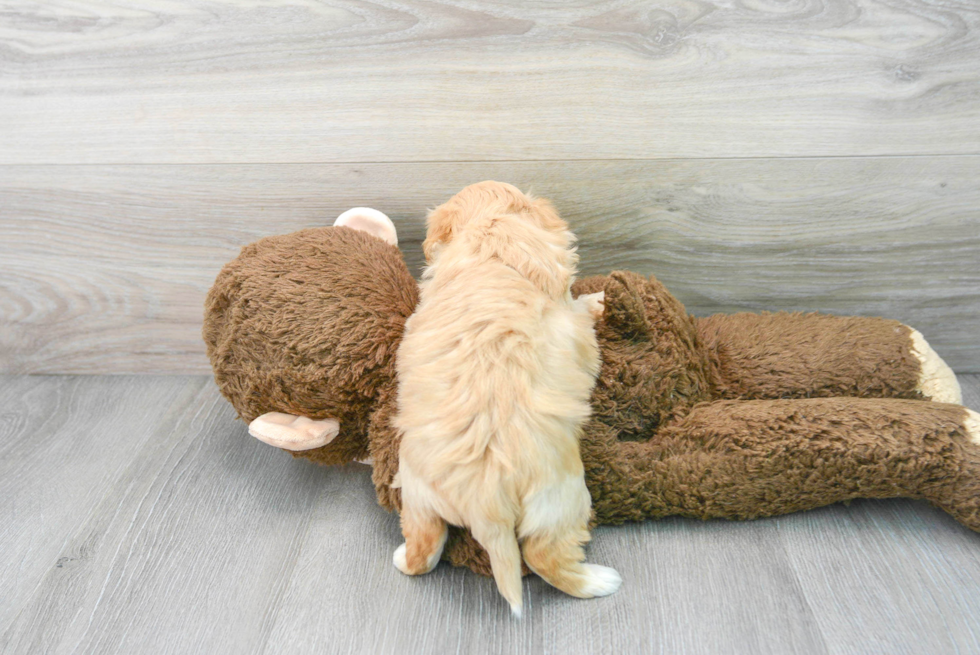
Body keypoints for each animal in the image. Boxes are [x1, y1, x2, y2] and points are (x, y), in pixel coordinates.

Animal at [392, 182, 616, 616]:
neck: (490, 234)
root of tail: (484, 502)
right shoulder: (568, 309)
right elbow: (580, 308)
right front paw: (598, 300)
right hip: (561, 498)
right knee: (545, 556)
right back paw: (599, 581)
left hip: (416, 492)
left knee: (424, 549)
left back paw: (401, 557)